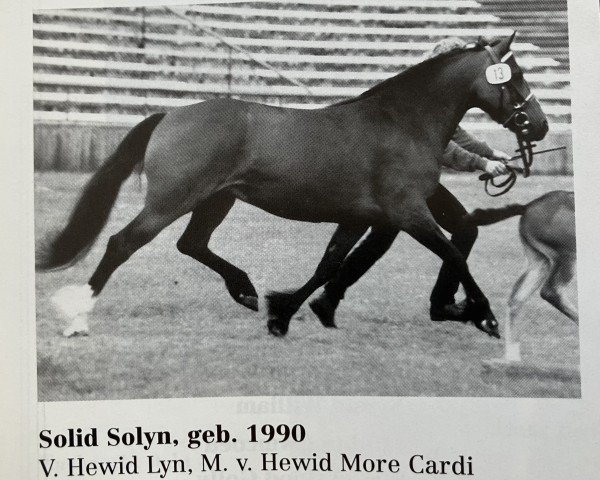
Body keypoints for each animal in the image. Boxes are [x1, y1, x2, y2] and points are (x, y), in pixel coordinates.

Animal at [35, 34, 548, 338]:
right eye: (517, 76)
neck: (401, 123)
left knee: (191, 244)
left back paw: (245, 291)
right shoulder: (409, 213)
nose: (540, 127)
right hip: (172, 200)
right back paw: (78, 318)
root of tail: (171, 114)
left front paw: (281, 314)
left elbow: (329, 265)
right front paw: (484, 315)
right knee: (122, 243)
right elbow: (455, 253)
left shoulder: (361, 217)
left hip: (215, 200)